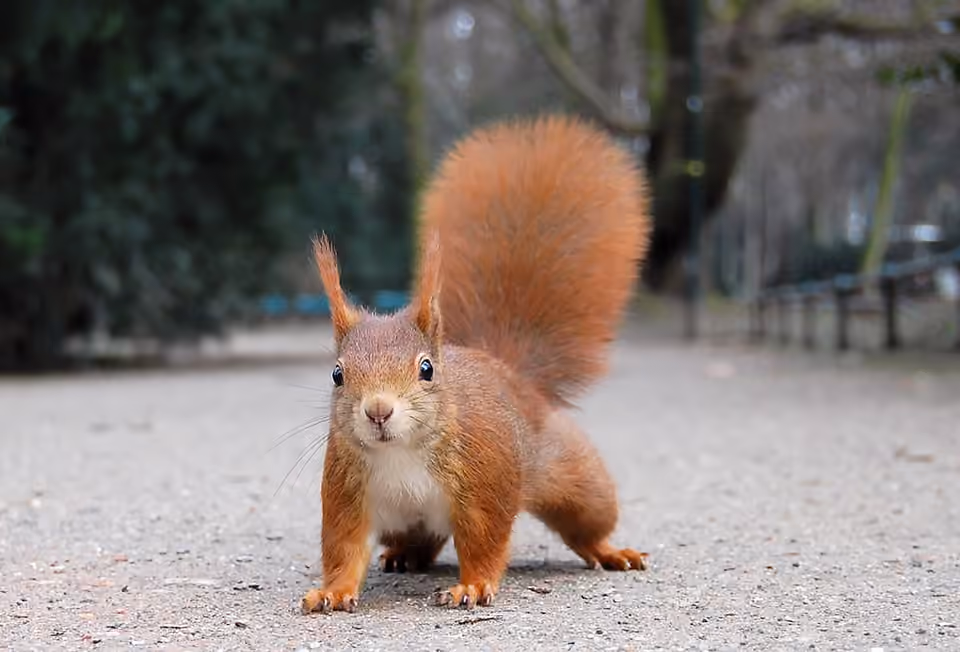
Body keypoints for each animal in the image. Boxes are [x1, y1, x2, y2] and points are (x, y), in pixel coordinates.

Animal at [300, 114, 651, 614]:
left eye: (427, 368)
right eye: (337, 374)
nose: (378, 411)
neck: (401, 452)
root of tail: (508, 370)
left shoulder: (485, 482)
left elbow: (483, 541)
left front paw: (472, 585)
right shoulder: (348, 492)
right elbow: (344, 548)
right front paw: (332, 591)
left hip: (576, 479)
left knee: (587, 523)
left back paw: (609, 551)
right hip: (404, 520)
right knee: (420, 539)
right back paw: (402, 556)